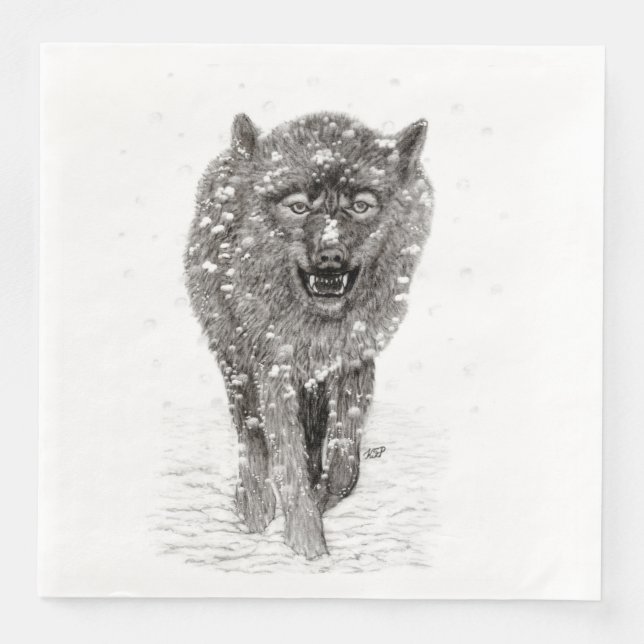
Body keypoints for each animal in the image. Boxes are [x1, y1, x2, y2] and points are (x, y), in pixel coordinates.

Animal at [184, 111, 433, 559]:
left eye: (360, 205)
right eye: (298, 206)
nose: (330, 257)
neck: (319, 327)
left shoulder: (354, 361)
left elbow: (344, 463)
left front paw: (318, 501)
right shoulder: (274, 371)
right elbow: (287, 459)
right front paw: (306, 543)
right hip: (236, 362)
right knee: (250, 435)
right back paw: (254, 505)